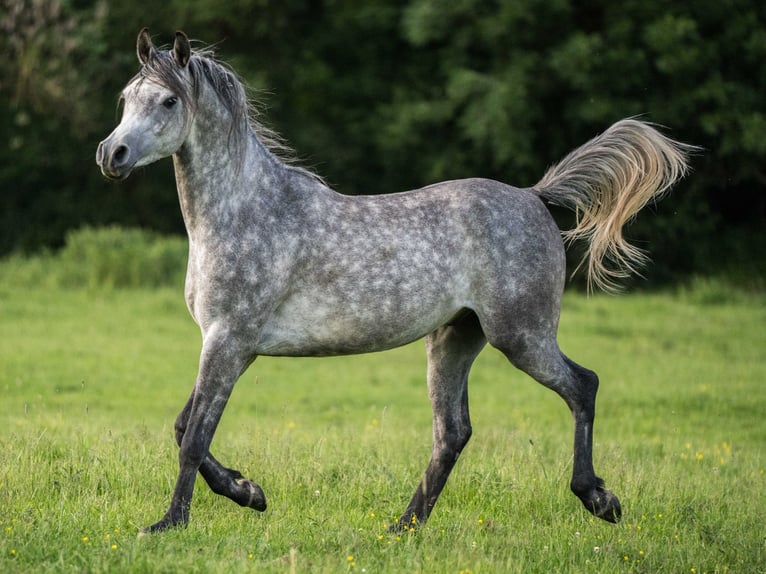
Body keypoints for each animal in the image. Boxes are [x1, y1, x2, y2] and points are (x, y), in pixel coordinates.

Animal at [96, 29, 693, 534]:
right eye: (127, 97)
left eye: (168, 101)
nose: (111, 154)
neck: (245, 211)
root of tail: (534, 195)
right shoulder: (225, 344)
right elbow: (184, 427)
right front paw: (250, 492)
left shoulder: (229, 340)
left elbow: (194, 437)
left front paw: (168, 524)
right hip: (455, 338)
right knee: (453, 433)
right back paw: (403, 527)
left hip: (521, 336)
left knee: (582, 386)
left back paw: (598, 499)